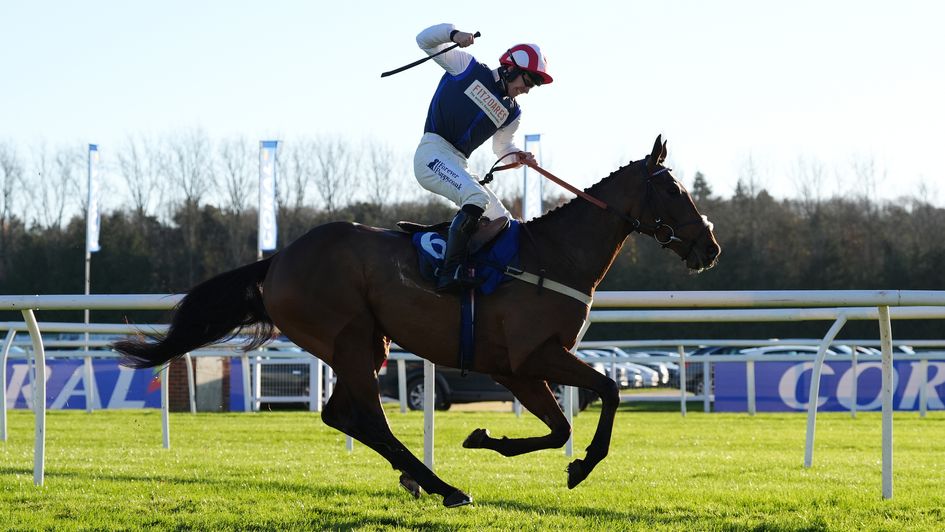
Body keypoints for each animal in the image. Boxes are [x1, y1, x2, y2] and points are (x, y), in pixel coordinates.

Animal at [114, 136, 720, 508]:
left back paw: (419, 476)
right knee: (368, 419)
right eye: (673, 189)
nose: (708, 246)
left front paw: (489, 438)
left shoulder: (516, 369)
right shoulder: (534, 356)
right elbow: (606, 395)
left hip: (367, 344)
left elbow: (560, 427)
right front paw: (581, 465)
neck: (554, 256)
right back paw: (443, 485)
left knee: (342, 416)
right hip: (349, 338)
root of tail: (277, 260)